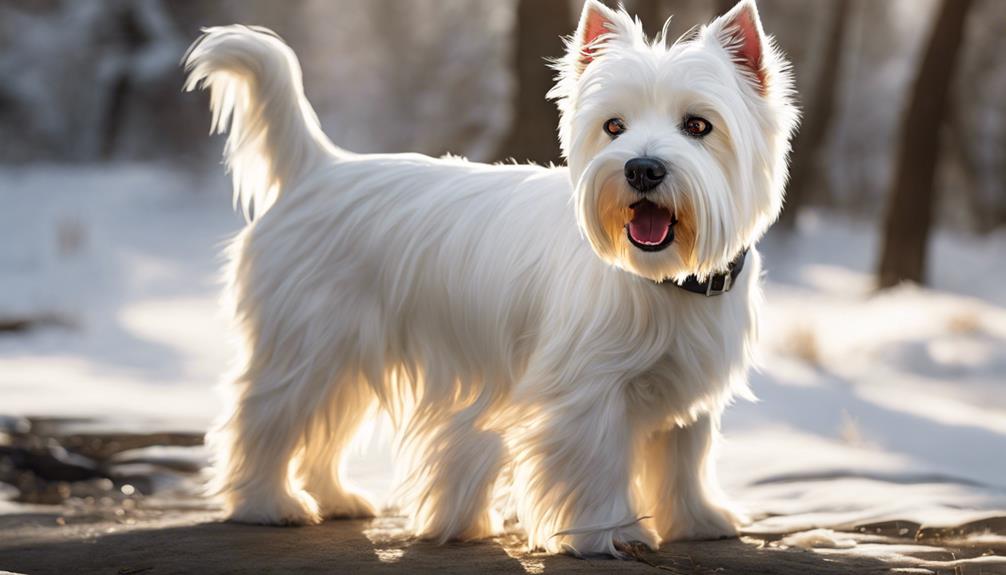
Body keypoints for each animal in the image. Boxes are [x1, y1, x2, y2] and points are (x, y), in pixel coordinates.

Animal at [183, 0, 792, 558]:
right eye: (613, 126)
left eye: (698, 125)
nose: (641, 168)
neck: (664, 279)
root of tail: (318, 168)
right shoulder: (586, 393)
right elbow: (598, 464)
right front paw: (611, 532)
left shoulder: (688, 389)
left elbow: (686, 458)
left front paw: (697, 519)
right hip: (307, 347)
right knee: (263, 416)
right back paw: (268, 503)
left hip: (347, 358)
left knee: (325, 430)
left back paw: (336, 498)